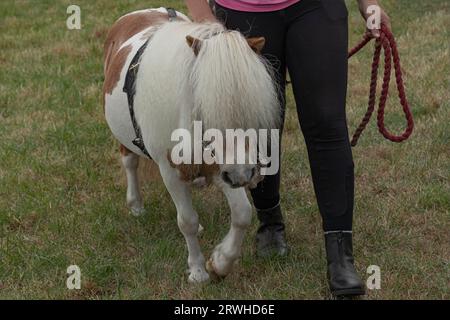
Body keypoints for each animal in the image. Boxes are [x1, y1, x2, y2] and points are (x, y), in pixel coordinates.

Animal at [103, 8, 280, 282]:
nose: (243, 175)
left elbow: (241, 214)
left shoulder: (222, 166)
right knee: (130, 161)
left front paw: (220, 263)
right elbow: (186, 221)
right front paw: (198, 271)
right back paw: (136, 205)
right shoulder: (170, 169)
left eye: (251, 105)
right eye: (206, 105)